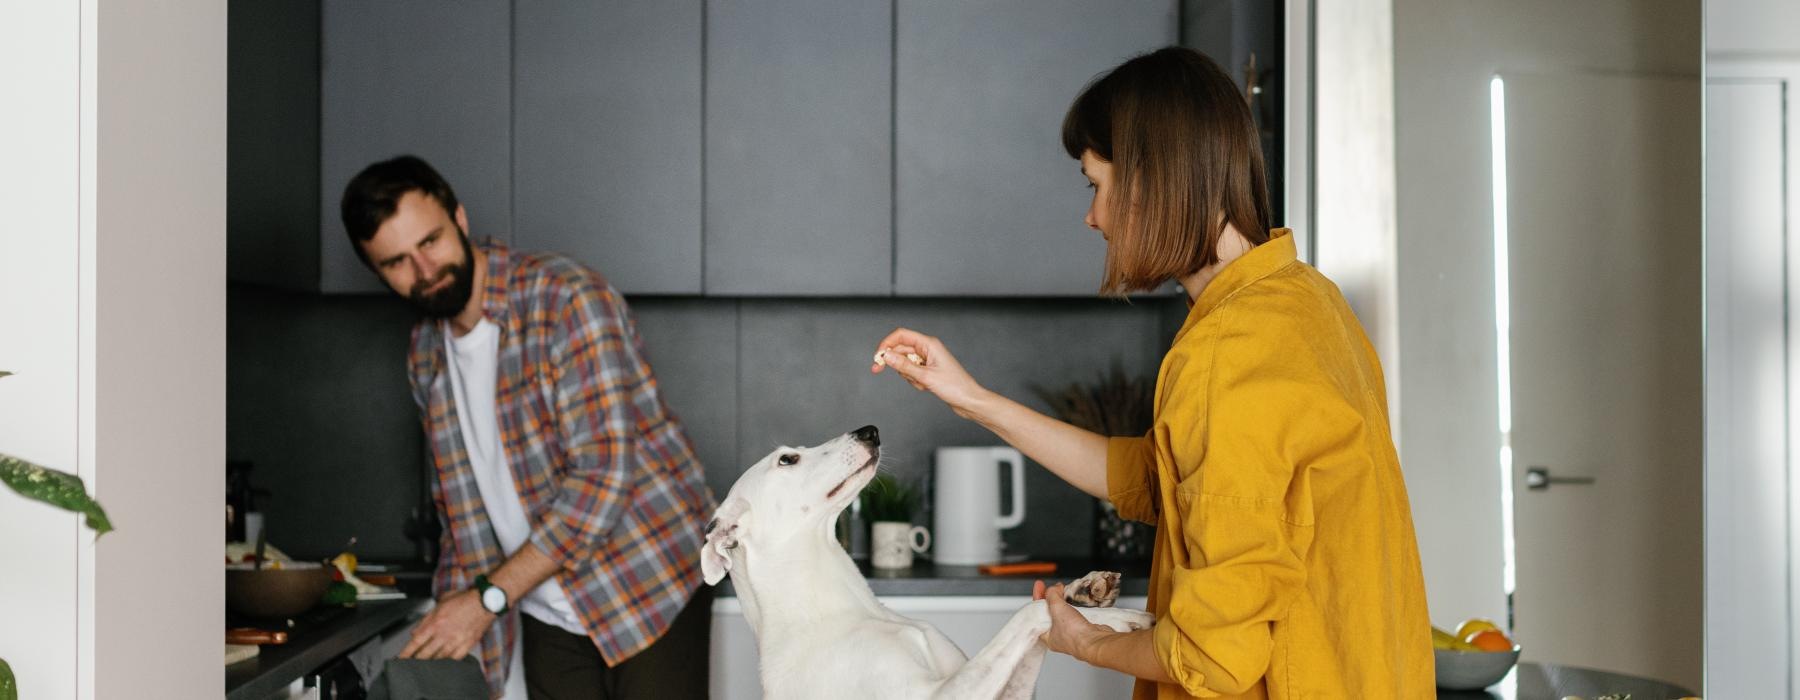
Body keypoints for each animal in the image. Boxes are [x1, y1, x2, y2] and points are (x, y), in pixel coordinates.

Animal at [702, 422, 1152, 694]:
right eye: (787, 459)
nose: (870, 430)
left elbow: (1036, 618)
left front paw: (1085, 593)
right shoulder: (941, 694)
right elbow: (1026, 615)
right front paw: (1119, 618)